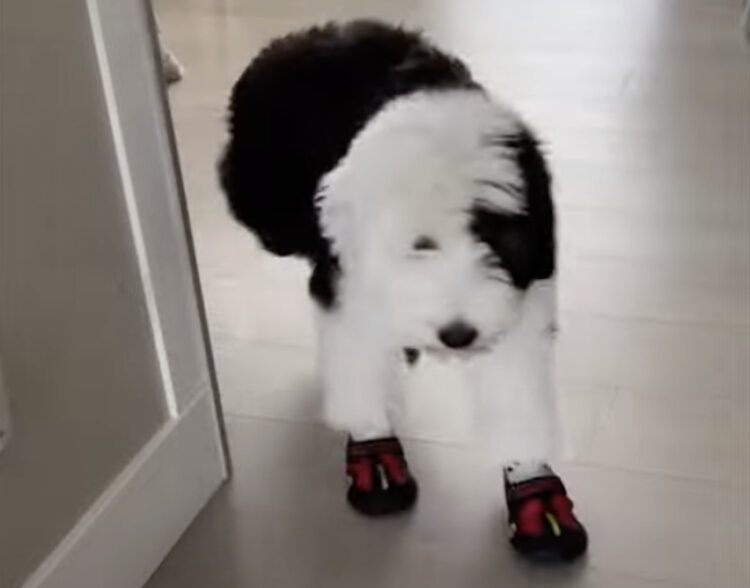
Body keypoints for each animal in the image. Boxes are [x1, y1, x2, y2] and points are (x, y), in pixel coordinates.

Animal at [219, 21, 587, 560]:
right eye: (420, 245)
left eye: (503, 241)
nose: (457, 335)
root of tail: (298, 35)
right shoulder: (351, 286)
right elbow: (358, 364)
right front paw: (372, 440)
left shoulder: (518, 305)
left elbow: (517, 391)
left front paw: (530, 481)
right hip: (269, 203)